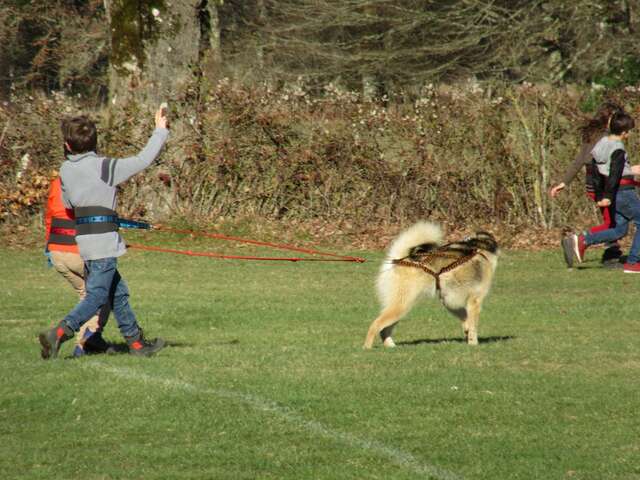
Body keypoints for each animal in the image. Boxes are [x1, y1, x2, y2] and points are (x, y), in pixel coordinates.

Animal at [364, 221, 500, 348]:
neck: (479, 246)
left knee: (384, 329)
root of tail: (399, 260)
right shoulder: (474, 301)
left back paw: (390, 346)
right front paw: (473, 343)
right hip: (401, 305)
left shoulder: (449, 301)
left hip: (399, 307)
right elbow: (473, 325)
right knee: (375, 325)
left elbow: (465, 319)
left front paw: (467, 333)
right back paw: (367, 348)